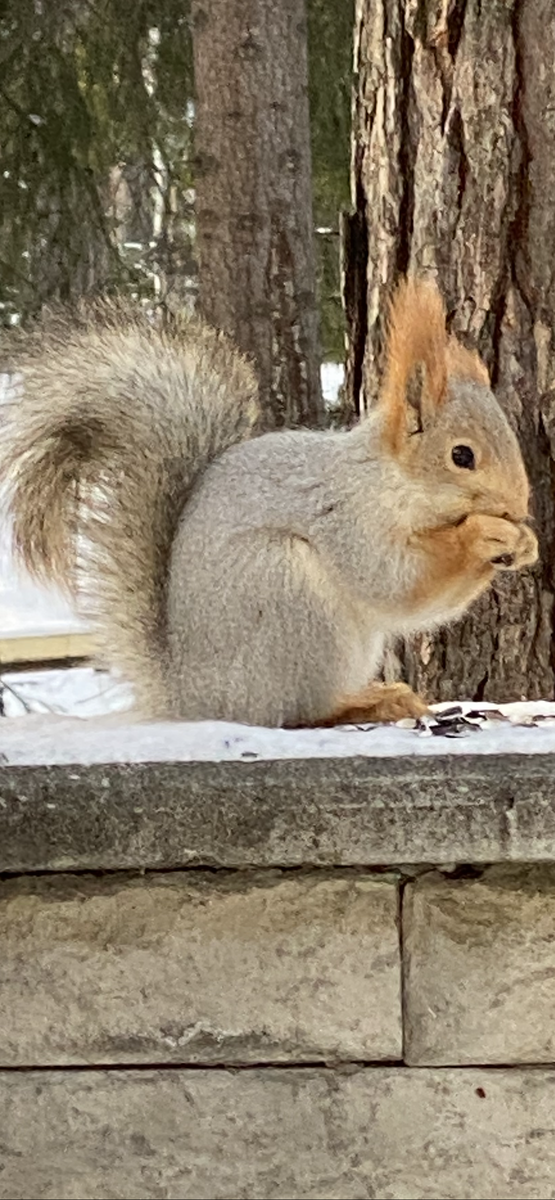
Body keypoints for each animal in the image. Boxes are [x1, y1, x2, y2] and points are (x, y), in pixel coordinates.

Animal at [0, 280, 538, 724]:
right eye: (461, 456)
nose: (517, 508)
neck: (390, 482)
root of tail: (191, 694)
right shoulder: (346, 519)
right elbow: (396, 583)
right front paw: (485, 534)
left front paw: (525, 542)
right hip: (287, 597)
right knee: (294, 712)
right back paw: (368, 702)